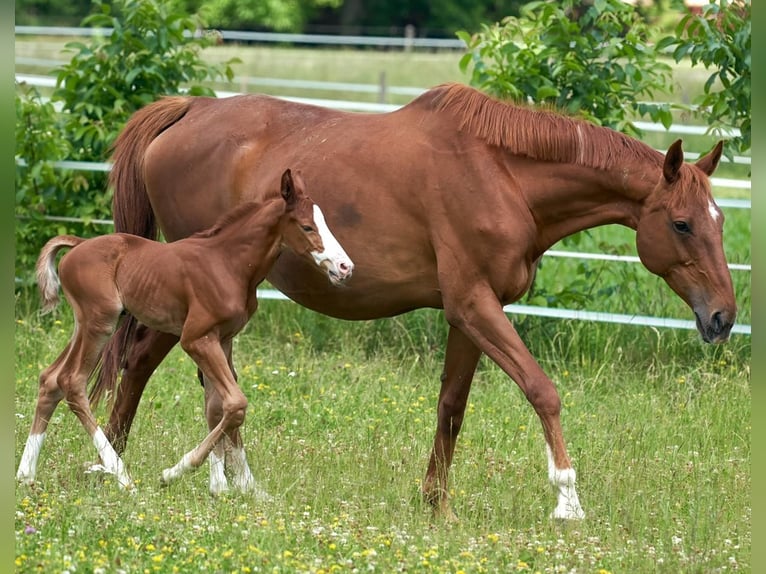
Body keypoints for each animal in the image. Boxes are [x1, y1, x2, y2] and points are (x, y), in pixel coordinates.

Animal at [16, 169, 356, 492]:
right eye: (307, 227)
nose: (345, 267)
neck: (228, 264)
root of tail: (78, 244)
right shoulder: (196, 339)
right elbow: (236, 403)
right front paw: (176, 472)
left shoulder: (224, 339)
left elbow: (217, 407)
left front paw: (227, 487)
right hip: (100, 322)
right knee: (72, 381)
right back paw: (120, 474)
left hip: (86, 323)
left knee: (50, 379)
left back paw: (25, 475)